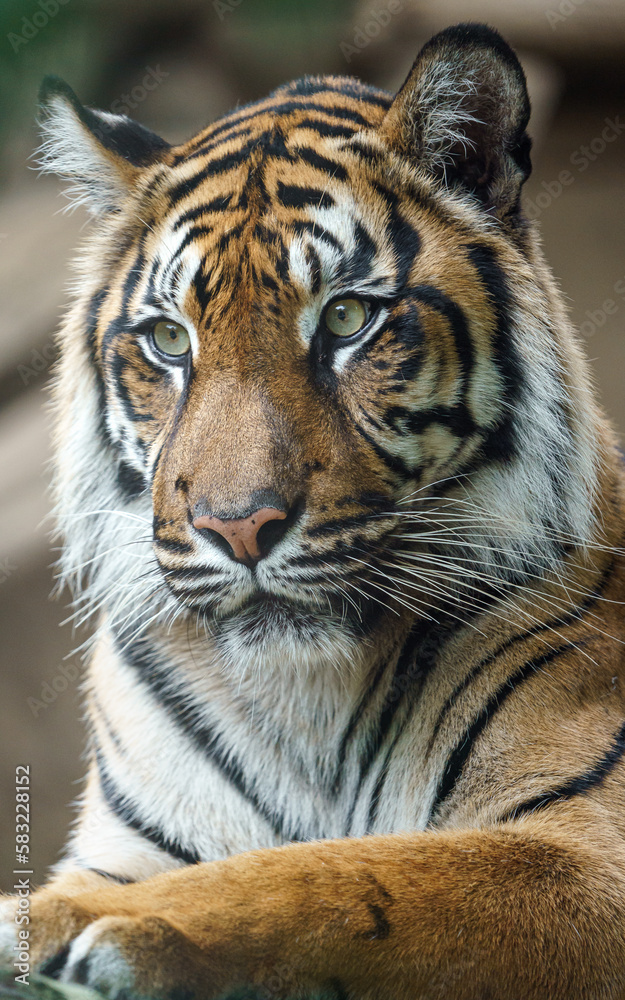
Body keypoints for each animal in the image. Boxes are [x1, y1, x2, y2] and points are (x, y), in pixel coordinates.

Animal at [1, 19, 625, 1000]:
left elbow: (342, 870)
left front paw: (122, 926)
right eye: (169, 338)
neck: (304, 703)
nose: (237, 526)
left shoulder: (586, 856)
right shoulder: (129, 840)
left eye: (344, 320)